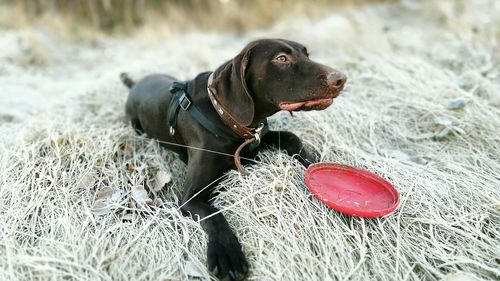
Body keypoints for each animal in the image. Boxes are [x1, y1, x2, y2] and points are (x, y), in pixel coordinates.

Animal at [121, 38, 344, 278]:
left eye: (307, 55)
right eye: (281, 58)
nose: (341, 78)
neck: (225, 116)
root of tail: (134, 84)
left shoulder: (257, 138)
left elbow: (292, 137)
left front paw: (316, 165)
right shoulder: (191, 197)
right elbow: (214, 215)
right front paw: (227, 255)